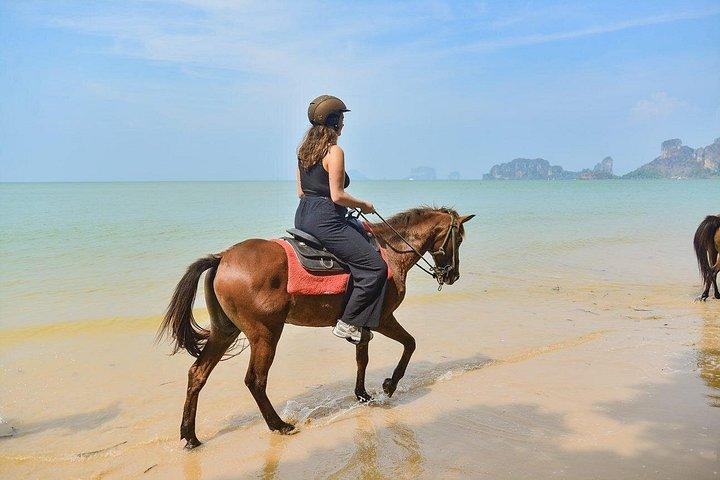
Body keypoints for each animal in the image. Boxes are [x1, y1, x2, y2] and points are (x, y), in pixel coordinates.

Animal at [157, 206, 475, 449]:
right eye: (458, 239)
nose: (453, 276)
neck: (390, 252)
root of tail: (222, 257)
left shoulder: (363, 323)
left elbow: (362, 358)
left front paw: (362, 395)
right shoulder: (384, 319)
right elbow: (410, 344)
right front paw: (390, 384)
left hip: (225, 331)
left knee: (198, 374)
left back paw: (190, 436)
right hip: (265, 334)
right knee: (255, 380)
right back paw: (279, 425)